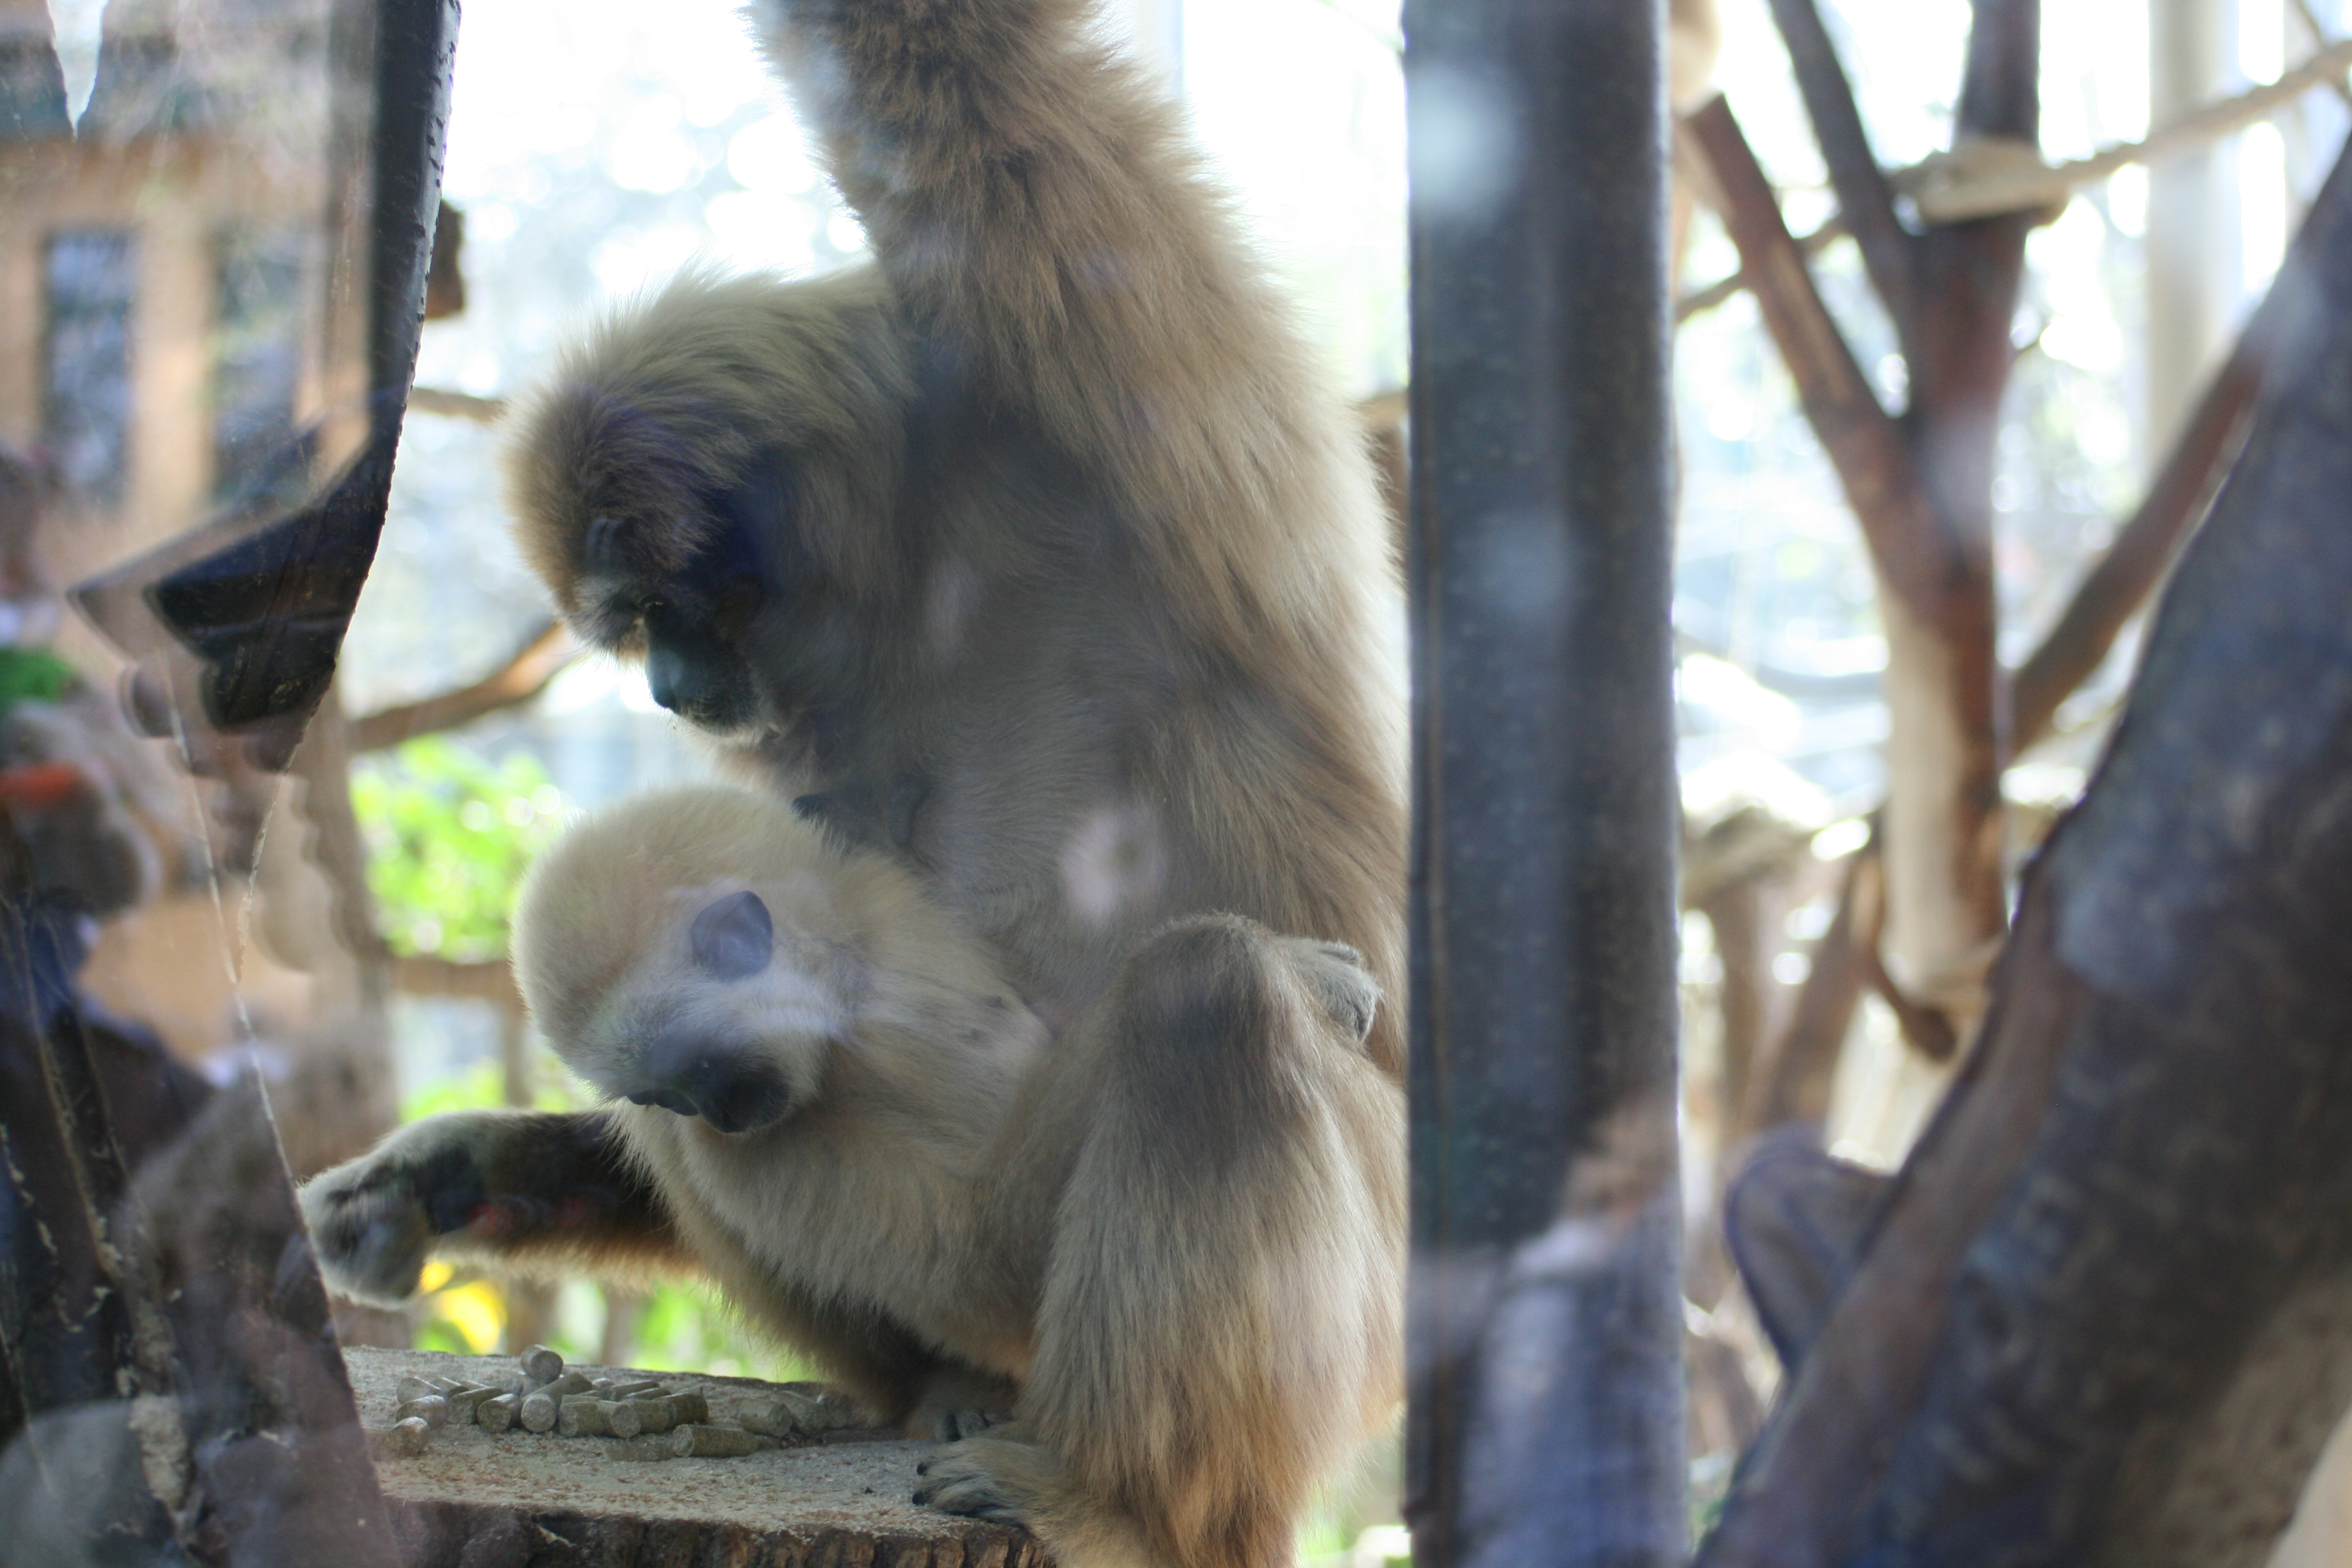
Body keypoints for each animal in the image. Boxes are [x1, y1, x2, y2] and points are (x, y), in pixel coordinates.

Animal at [299, 785, 1404, 1568]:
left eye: (705, 1074)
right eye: (670, 1091)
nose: (713, 1117)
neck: (853, 979)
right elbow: (974, 1263)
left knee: (1199, 996)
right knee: (1202, 994)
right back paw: (1102, 1499)